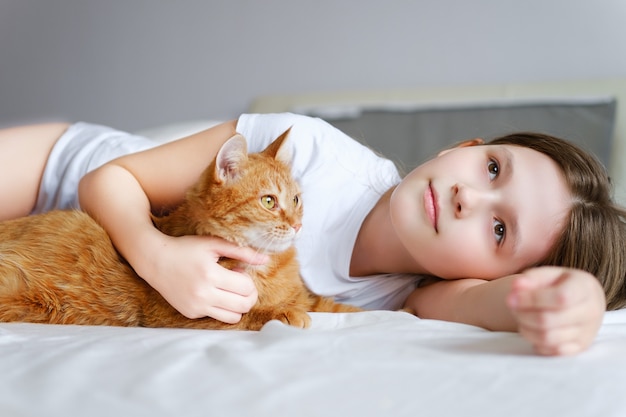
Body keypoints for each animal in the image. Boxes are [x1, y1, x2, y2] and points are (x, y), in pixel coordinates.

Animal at [0, 128, 360, 330]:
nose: (298, 225)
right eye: (269, 201)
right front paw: (278, 313)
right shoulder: (173, 314)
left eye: (296, 199)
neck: (268, 268)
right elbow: (243, 315)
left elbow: (344, 308)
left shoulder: (309, 298)